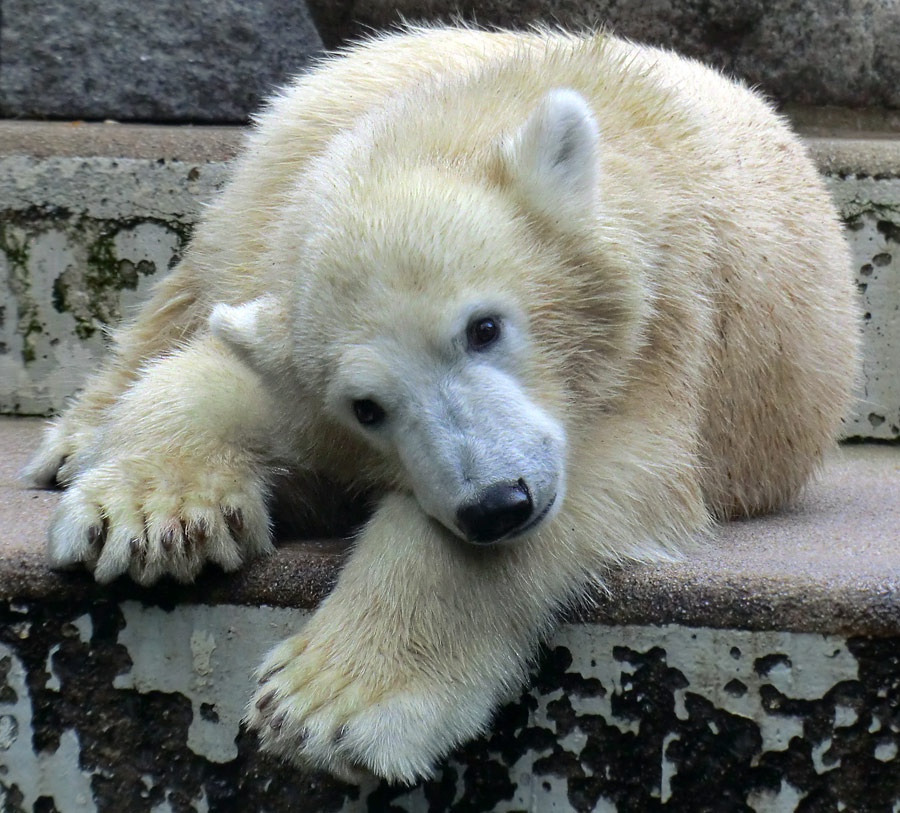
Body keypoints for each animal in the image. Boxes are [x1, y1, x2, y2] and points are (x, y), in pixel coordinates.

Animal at [26, 28, 856, 784]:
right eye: (367, 405)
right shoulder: (295, 317)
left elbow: (611, 473)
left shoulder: (664, 332)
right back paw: (72, 442)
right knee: (197, 277)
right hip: (288, 136)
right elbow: (218, 376)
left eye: (483, 326)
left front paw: (328, 704)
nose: (497, 503)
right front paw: (148, 519)